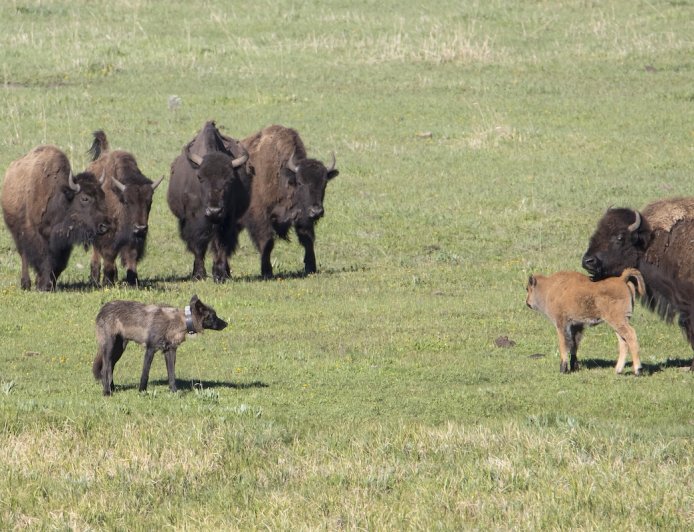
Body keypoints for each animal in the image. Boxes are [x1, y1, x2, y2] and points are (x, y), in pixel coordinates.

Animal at [1, 145, 109, 291]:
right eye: (85, 198)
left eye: (102, 195)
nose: (104, 226)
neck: (60, 199)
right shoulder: (37, 235)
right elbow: (43, 258)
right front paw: (43, 285)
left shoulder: (63, 241)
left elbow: (59, 263)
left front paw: (49, 283)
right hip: (17, 233)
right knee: (24, 255)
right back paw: (26, 283)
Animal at [87, 130, 164, 286]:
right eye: (127, 201)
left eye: (149, 201)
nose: (140, 228)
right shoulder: (108, 236)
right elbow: (108, 256)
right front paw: (107, 281)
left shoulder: (133, 240)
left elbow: (131, 256)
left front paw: (132, 280)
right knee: (97, 253)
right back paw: (95, 278)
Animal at [93, 295, 227, 395]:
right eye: (214, 316)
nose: (226, 324)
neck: (180, 321)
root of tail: (103, 308)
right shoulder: (150, 349)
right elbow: (145, 374)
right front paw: (142, 391)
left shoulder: (170, 351)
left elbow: (172, 375)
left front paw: (174, 392)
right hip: (110, 348)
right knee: (105, 369)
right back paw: (107, 392)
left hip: (118, 350)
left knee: (110, 368)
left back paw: (112, 388)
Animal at [167, 121, 250, 282]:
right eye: (200, 177)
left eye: (230, 179)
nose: (214, 211)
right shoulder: (193, 221)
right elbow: (198, 246)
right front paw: (199, 274)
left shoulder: (227, 221)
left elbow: (221, 245)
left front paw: (220, 275)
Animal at [240, 125, 339, 278]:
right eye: (300, 182)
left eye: (324, 183)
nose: (317, 211)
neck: (284, 178)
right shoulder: (259, 216)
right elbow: (267, 242)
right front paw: (267, 272)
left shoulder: (303, 216)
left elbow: (308, 239)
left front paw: (311, 267)